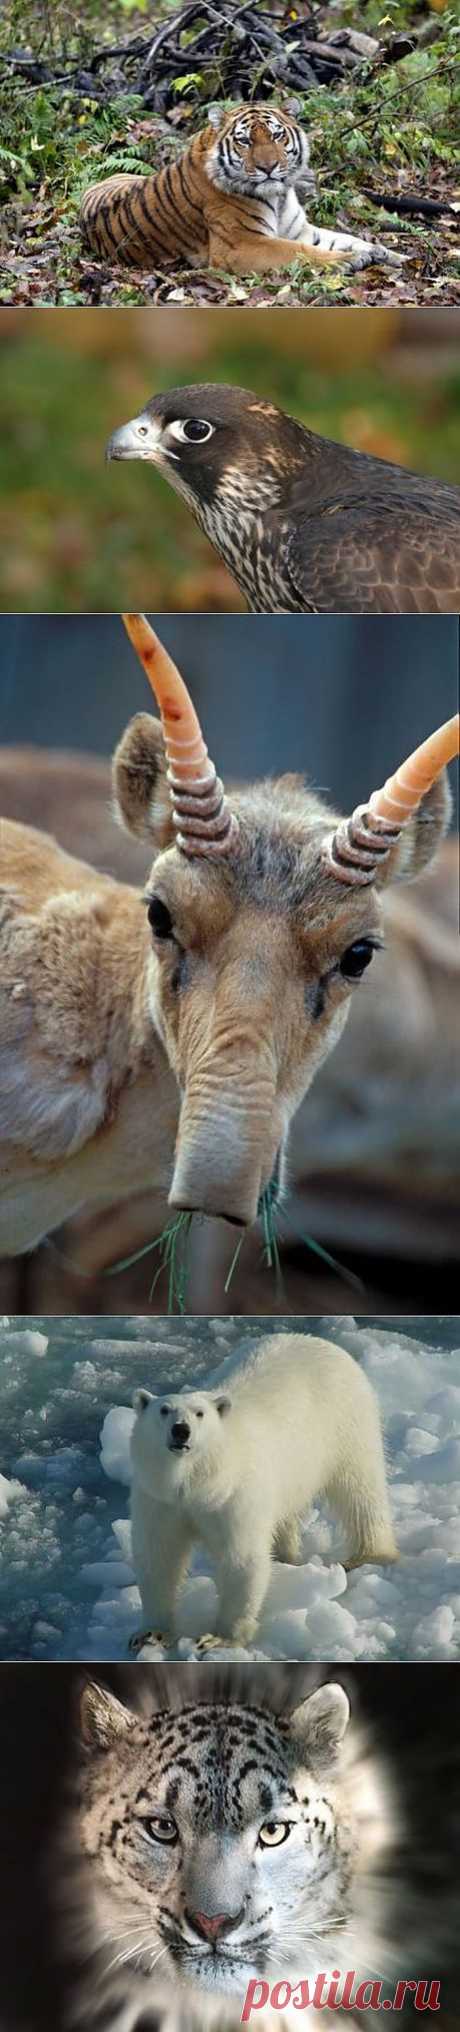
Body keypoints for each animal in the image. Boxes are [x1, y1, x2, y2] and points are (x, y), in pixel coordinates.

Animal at [79, 100, 403, 276]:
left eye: (276, 136)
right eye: (245, 141)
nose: (268, 167)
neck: (279, 196)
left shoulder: (300, 230)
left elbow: (347, 238)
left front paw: (389, 254)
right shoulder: (241, 244)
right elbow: (299, 252)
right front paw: (350, 260)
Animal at [128, 1332, 394, 1649]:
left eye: (200, 1413)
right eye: (164, 1410)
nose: (181, 1430)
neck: (198, 1483)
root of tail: (325, 1343)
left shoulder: (233, 1496)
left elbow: (241, 1558)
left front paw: (219, 1638)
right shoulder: (159, 1498)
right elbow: (159, 1556)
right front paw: (151, 1633)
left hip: (347, 1423)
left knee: (359, 1488)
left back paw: (369, 1555)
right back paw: (285, 1556)